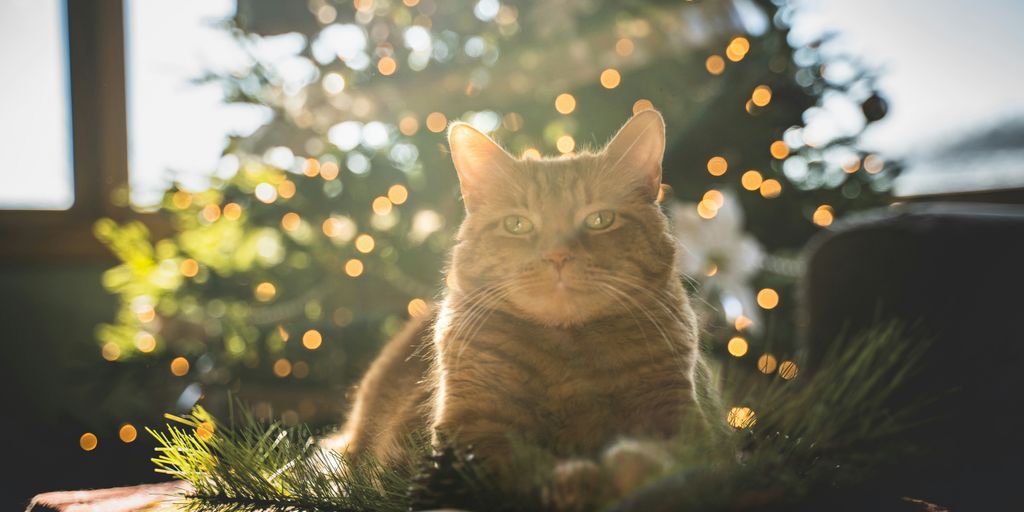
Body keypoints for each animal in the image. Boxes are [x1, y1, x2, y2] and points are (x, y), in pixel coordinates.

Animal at [327, 110, 712, 505]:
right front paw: (576, 481)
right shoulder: (473, 432)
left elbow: (672, 459)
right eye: (517, 224)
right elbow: (523, 466)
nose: (557, 255)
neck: (568, 354)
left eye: (600, 219)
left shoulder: (681, 415)